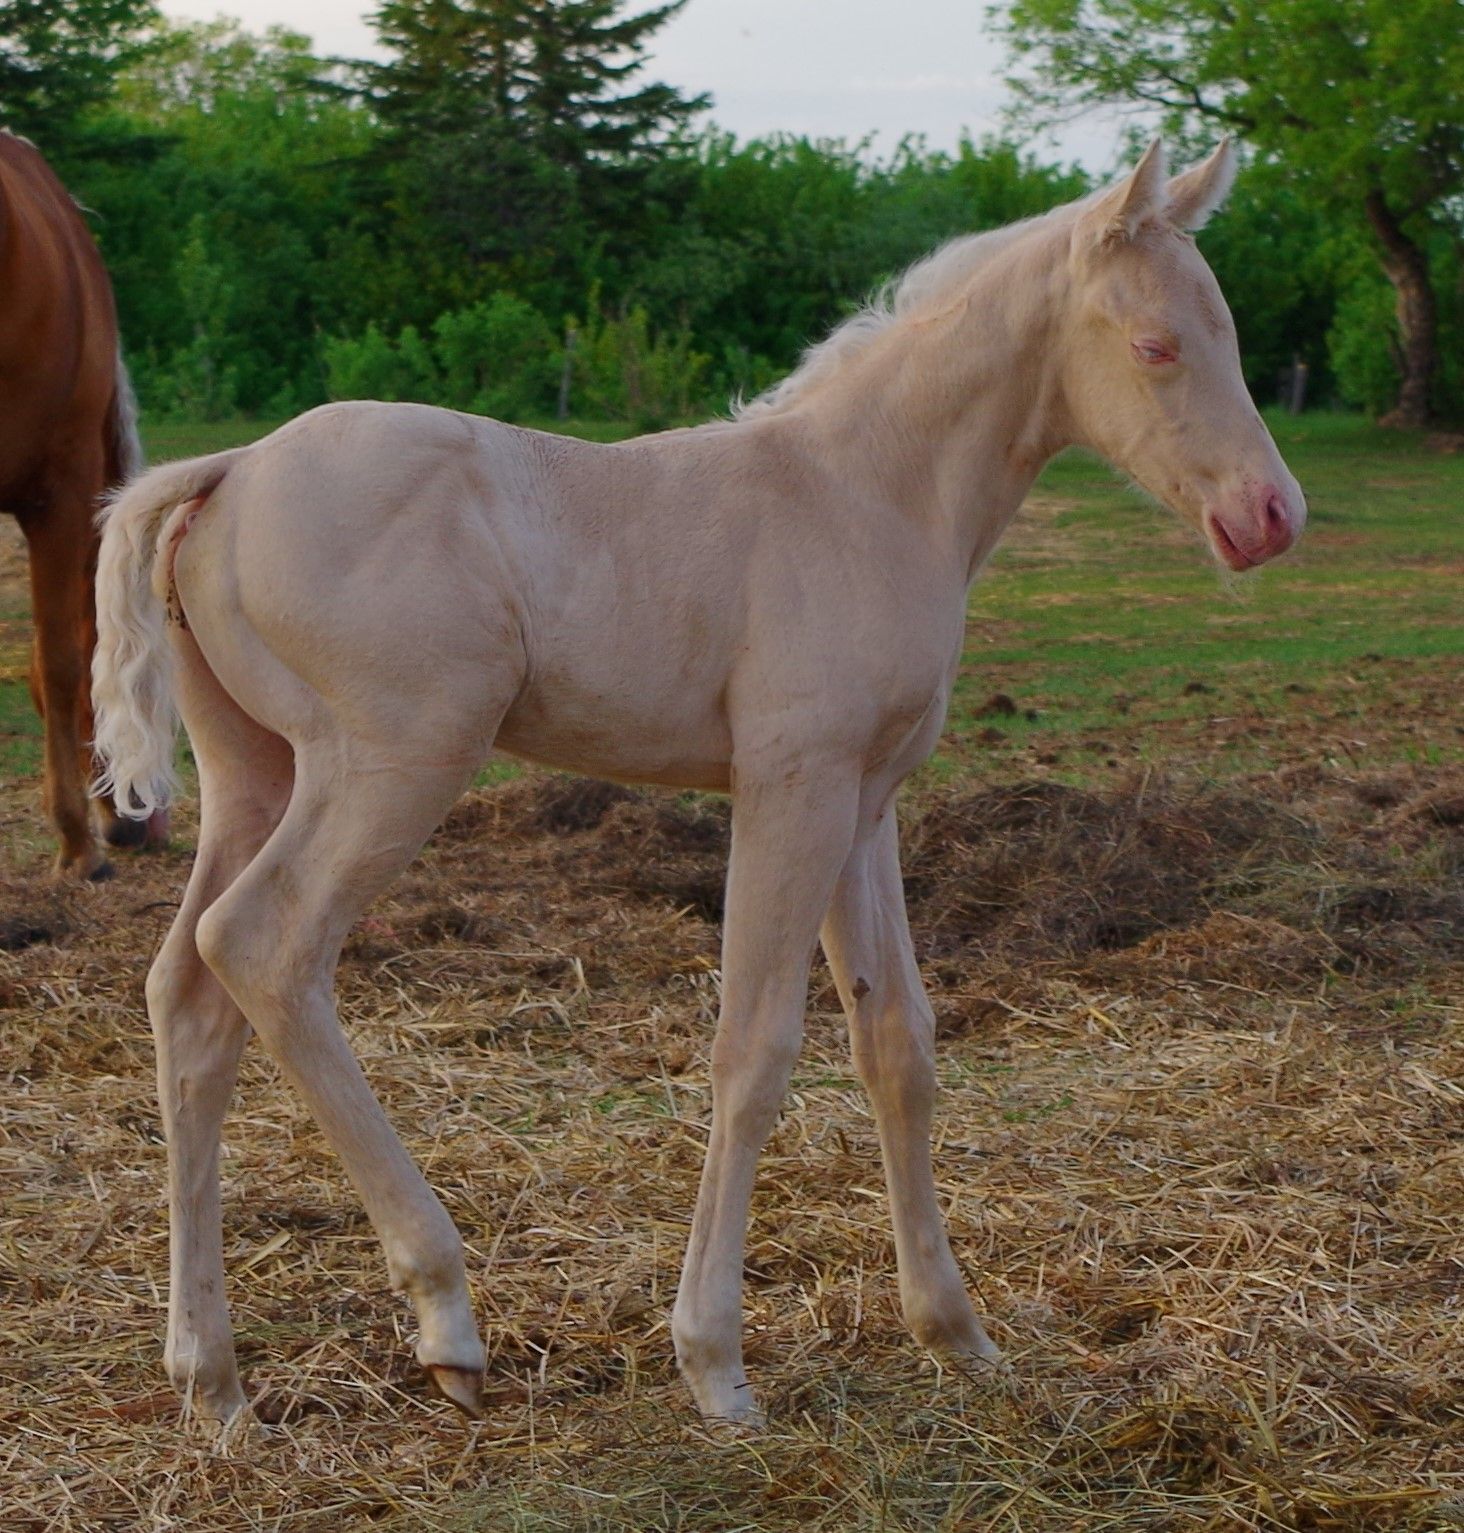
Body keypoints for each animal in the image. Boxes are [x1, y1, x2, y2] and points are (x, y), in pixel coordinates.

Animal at [92, 139, 1304, 1431]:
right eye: (1155, 345)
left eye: (1228, 331)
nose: (1272, 517)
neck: (867, 491)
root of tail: (231, 470)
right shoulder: (791, 788)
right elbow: (754, 1049)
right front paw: (714, 1362)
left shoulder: (864, 801)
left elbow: (899, 1042)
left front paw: (955, 1331)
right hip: (395, 760)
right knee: (262, 946)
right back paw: (445, 1317)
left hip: (258, 774)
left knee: (188, 993)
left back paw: (211, 1380)